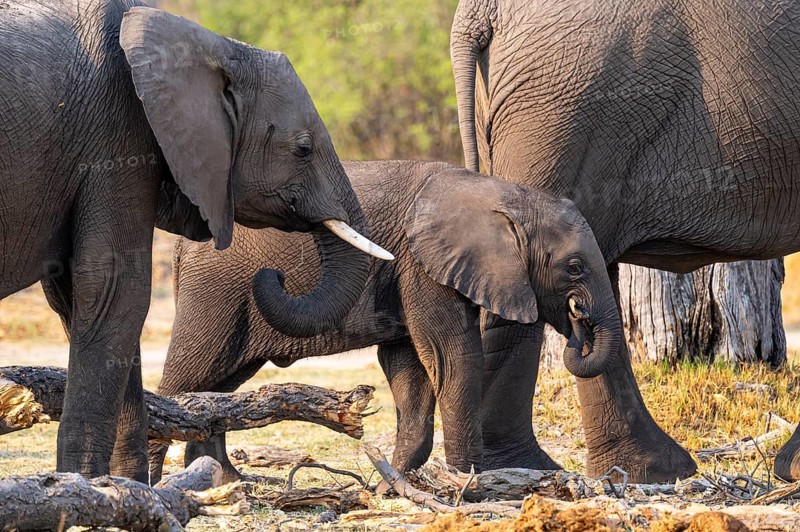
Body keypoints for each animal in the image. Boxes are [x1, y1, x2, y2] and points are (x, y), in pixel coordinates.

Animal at [0, 2, 391, 482]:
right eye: (302, 148)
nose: (273, 274)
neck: (210, 46)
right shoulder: (117, 139)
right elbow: (116, 290)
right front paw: (86, 486)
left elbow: (88, 303)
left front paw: (128, 487)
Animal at [147, 160, 622, 484]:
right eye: (574, 267)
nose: (578, 320)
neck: (503, 195)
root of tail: (179, 249)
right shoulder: (421, 266)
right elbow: (453, 358)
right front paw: (468, 482)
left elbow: (410, 367)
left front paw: (391, 482)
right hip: (214, 295)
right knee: (186, 379)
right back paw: (153, 480)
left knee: (218, 386)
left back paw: (224, 481)